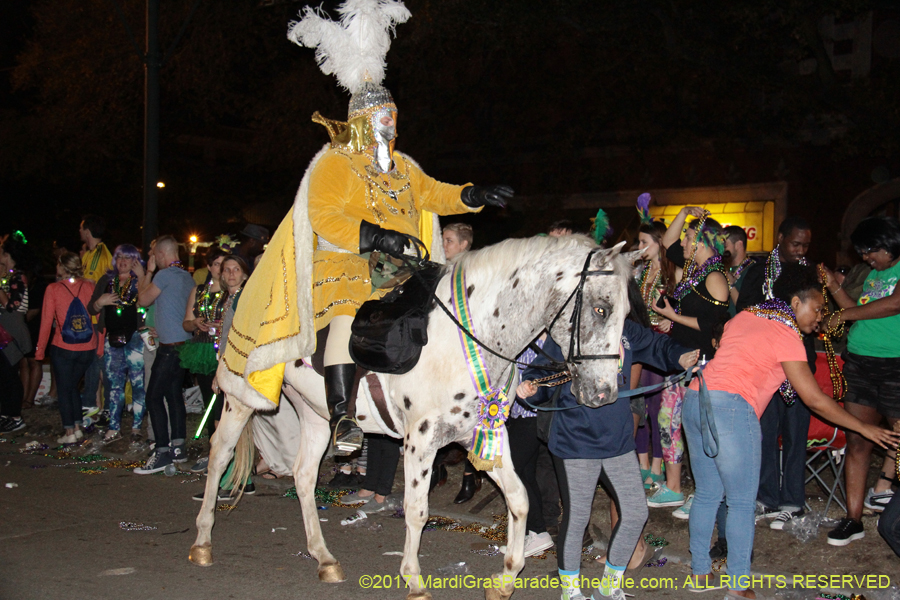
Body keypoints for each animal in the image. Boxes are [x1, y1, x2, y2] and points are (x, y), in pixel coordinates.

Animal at [191, 236, 640, 600]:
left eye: (626, 314)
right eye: (601, 309)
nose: (604, 394)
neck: (466, 335)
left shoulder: (482, 434)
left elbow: (519, 499)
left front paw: (505, 578)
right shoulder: (420, 440)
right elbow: (417, 509)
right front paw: (414, 579)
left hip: (314, 413)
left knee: (303, 476)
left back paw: (324, 558)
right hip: (240, 398)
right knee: (218, 455)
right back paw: (202, 543)